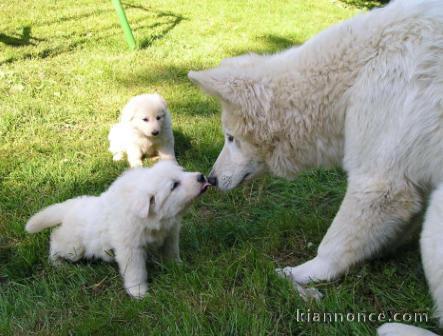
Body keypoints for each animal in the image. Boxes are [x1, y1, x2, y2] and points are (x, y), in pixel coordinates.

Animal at [25, 161, 211, 298]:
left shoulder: (170, 235)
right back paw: (57, 263)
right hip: (73, 247)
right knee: (55, 239)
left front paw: (178, 266)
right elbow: (136, 272)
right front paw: (138, 292)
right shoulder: (130, 249)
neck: (153, 219)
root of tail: (70, 207)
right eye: (174, 185)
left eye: (182, 172)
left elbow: (171, 252)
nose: (201, 177)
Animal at [189, 1, 443, 334]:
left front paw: (300, 274)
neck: (355, 76)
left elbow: (335, 244)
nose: (212, 179)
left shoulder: (380, 183)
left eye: (230, 138)